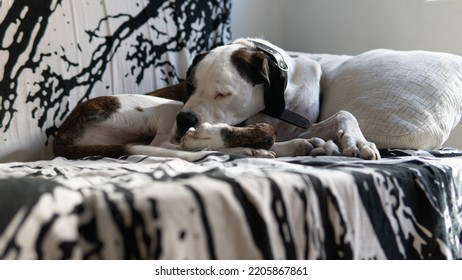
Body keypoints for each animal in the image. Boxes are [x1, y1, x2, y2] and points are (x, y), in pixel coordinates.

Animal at [54, 37, 380, 160]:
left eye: (223, 93)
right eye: (189, 85)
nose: (186, 120)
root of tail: (63, 132)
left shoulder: (301, 123)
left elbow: (344, 114)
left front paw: (358, 142)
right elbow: (264, 131)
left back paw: (309, 145)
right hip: (163, 109)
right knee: (165, 146)